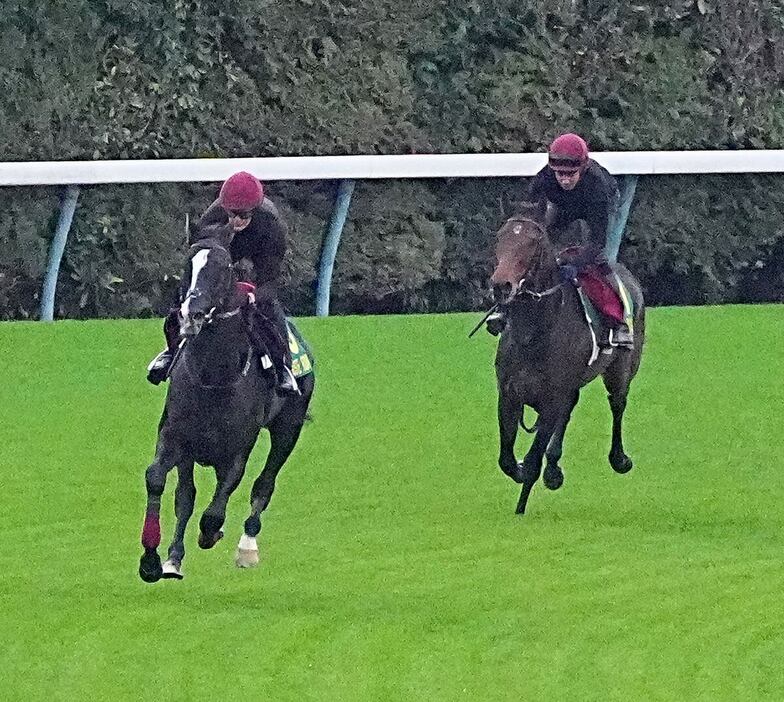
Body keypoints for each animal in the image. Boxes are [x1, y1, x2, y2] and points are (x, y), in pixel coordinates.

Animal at [139, 227, 314, 584]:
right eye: (187, 266)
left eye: (223, 270)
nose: (190, 314)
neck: (213, 378)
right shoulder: (176, 438)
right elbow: (158, 480)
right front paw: (152, 560)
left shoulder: (238, 450)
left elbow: (216, 508)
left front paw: (211, 534)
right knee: (186, 496)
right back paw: (174, 559)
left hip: (288, 428)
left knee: (264, 484)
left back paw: (247, 546)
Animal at [494, 199, 648, 516]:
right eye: (500, 238)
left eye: (533, 242)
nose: (500, 285)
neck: (535, 332)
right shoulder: (509, 394)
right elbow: (507, 459)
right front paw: (526, 472)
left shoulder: (552, 398)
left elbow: (532, 458)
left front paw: (521, 506)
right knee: (571, 408)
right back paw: (553, 469)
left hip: (622, 368)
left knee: (617, 404)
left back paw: (619, 459)